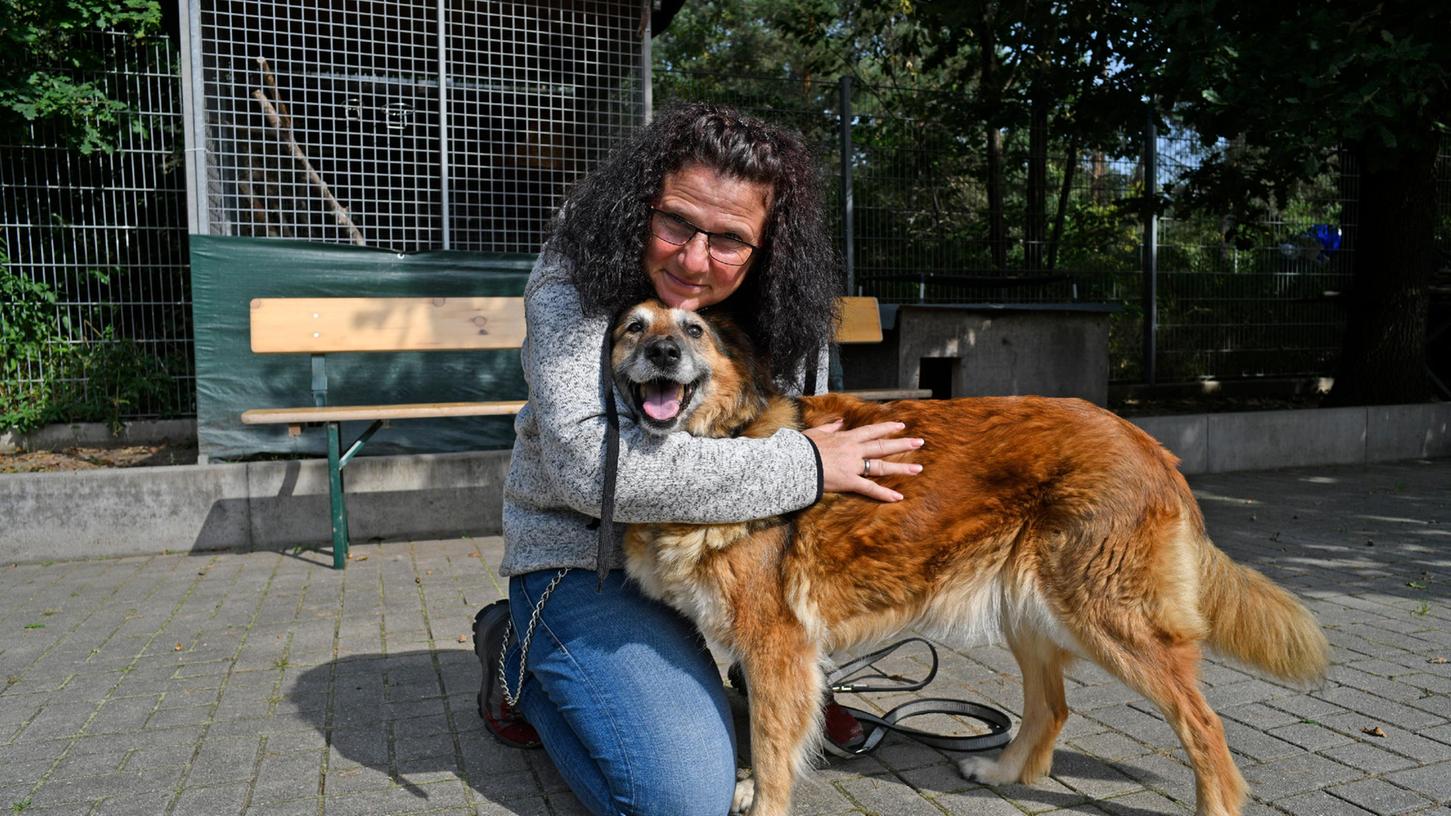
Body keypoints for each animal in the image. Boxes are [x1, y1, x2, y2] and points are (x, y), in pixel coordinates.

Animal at [606, 299, 1329, 813]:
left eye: (694, 328)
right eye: (634, 327)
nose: (663, 351)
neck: (724, 443)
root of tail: (1148, 445)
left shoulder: (776, 650)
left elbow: (772, 749)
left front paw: (763, 798)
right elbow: (766, 746)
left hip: (1109, 620)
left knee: (1203, 725)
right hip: (1028, 611)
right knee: (1051, 707)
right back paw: (1002, 771)